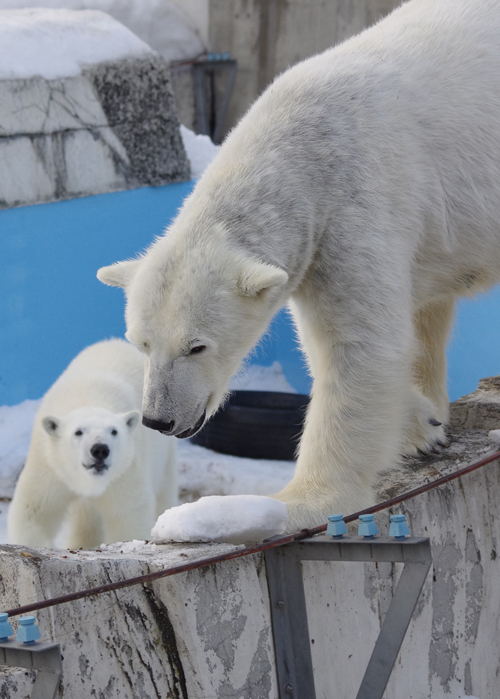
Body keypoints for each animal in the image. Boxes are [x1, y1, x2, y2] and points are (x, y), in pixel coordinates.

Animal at [98, 0, 500, 532]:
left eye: (197, 346)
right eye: (141, 343)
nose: (159, 419)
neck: (300, 151)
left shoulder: (354, 206)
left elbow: (358, 345)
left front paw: (300, 501)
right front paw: (422, 425)